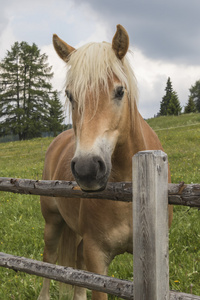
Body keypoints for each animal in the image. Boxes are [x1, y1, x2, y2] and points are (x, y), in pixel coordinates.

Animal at [38, 24, 173, 300]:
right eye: (70, 95)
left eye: (120, 91)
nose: (87, 168)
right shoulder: (97, 256)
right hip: (52, 224)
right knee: (49, 261)